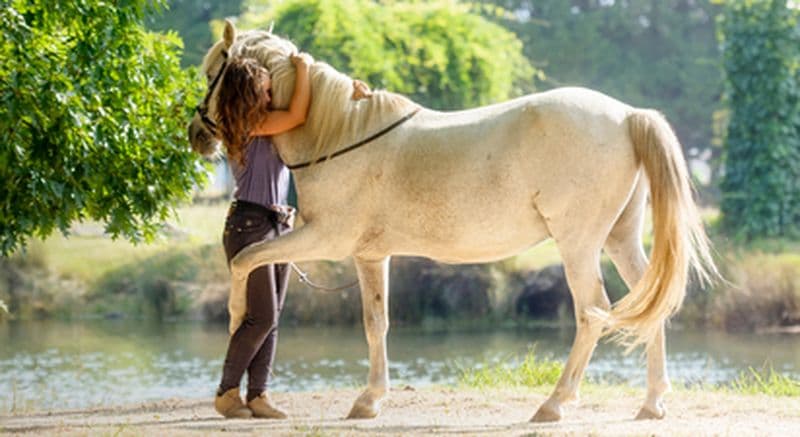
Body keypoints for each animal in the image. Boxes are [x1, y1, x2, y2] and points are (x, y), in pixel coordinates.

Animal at [188, 21, 717, 422]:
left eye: (213, 72)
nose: (196, 133)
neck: (339, 134)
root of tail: (627, 115)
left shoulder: (325, 239)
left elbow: (246, 260)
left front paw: (234, 318)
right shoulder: (370, 255)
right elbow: (376, 323)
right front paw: (369, 400)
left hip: (578, 245)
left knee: (592, 311)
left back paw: (554, 403)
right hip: (619, 239)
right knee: (650, 303)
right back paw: (651, 403)